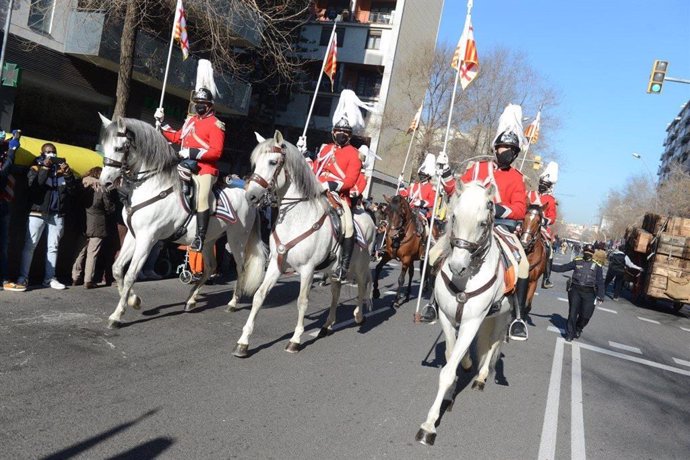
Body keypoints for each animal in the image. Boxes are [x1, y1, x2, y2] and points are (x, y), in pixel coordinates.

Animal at [98, 115, 264, 328]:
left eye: (119, 148)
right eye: (104, 145)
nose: (105, 182)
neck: (153, 185)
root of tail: (248, 194)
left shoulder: (147, 239)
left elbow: (130, 275)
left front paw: (118, 314)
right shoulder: (133, 236)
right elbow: (118, 269)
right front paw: (134, 300)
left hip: (237, 240)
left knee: (240, 267)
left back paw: (233, 303)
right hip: (209, 240)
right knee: (210, 267)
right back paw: (191, 300)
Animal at [234, 131, 376, 358]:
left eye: (273, 162)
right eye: (255, 163)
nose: (251, 196)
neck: (296, 218)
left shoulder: (308, 269)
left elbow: (302, 302)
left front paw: (295, 340)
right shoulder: (276, 263)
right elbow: (259, 295)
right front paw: (243, 342)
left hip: (360, 266)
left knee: (362, 287)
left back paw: (359, 316)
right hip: (335, 270)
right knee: (336, 293)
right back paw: (327, 326)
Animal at [414, 182, 510, 446]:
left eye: (483, 223)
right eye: (454, 216)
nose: (457, 266)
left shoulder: (472, 321)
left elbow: (448, 370)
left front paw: (429, 426)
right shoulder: (448, 319)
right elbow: (450, 356)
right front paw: (449, 394)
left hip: (502, 316)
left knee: (494, 344)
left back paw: (481, 377)